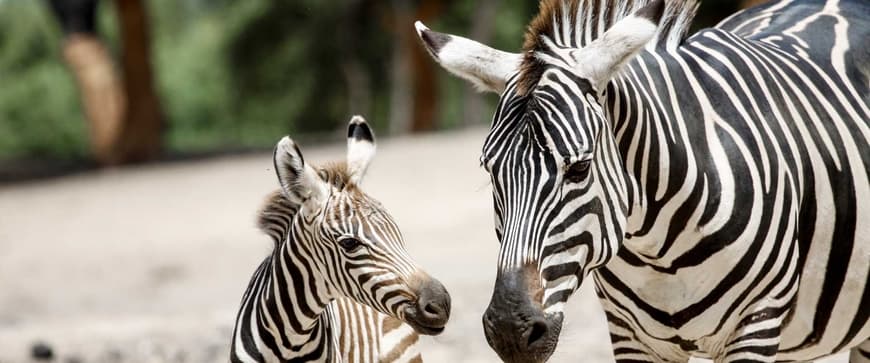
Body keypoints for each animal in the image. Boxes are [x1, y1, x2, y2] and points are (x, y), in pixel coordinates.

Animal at [418, 0, 868, 362]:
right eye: (490, 171)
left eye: (579, 169)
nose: (511, 330)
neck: (660, 249)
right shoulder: (631, 336)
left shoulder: (755, 326)